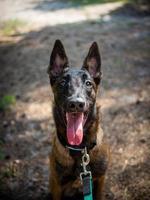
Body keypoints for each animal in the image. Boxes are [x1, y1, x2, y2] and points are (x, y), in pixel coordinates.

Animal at [47, 39, 109, 199]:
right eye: (62, 83)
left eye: (88, 83)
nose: (76, 104)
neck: (79, 149)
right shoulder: (56, 186)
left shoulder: (100, 180)